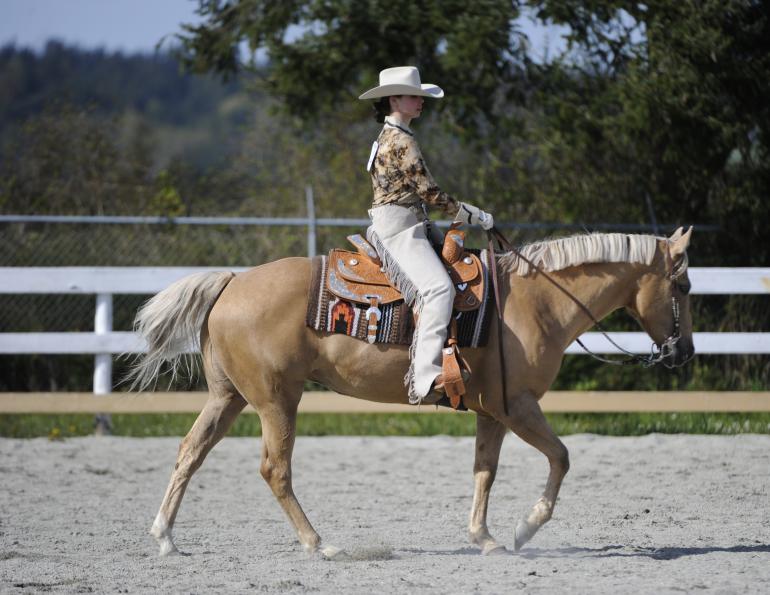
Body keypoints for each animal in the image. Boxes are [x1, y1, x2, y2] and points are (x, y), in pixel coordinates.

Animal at [129, 227, 694, 558]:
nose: (683, 353)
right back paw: (319, 544)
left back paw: (165, 537)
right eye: (685, 287)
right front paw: (525, 529)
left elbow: (484, 471)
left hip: (228, 398)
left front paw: (484, 538)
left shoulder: (492, 412)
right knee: (275, 469)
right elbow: (561, 456)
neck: (535, 302)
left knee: (190, 452)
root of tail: (231, 283)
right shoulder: (519, 407)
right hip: (276, 401)